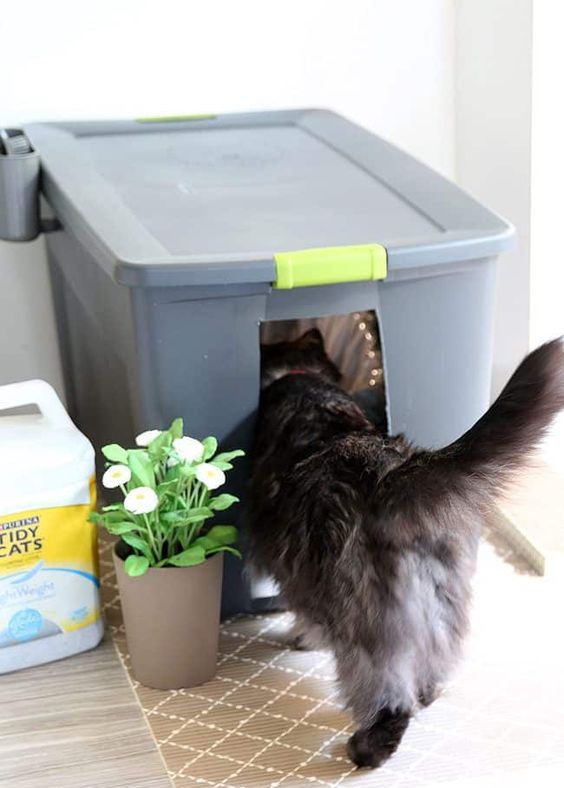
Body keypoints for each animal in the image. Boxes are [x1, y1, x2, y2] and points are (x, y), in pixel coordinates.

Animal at [250, 330, 564, 768]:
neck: (300, 378)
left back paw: (365, 749)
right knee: (436, 661)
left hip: (364, 622)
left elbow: (304, 616)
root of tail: (389, 474)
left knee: (388, 694)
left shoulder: (297, 571)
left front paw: (302, 638)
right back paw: (425, 694)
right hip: (442, 599)